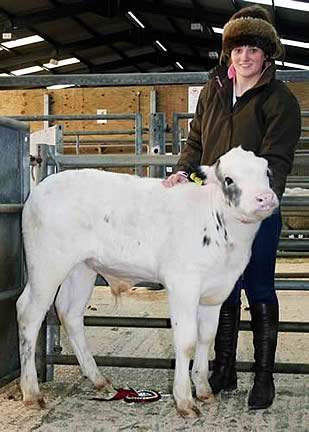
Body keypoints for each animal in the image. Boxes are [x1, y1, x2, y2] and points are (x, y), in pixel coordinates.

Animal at [16, 146, 276, 418]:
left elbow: (207, 337)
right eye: (229, 179)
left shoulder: (216, 291)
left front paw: (204, 389)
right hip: (46, 266)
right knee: (28, 314)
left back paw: (99, 379)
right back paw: (31, 393)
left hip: (82, 269)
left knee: (70, 314)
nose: (265, 198)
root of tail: (40, 190)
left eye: (267, 172)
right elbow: (186, 342)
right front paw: (184, 400)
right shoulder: (183, 284)